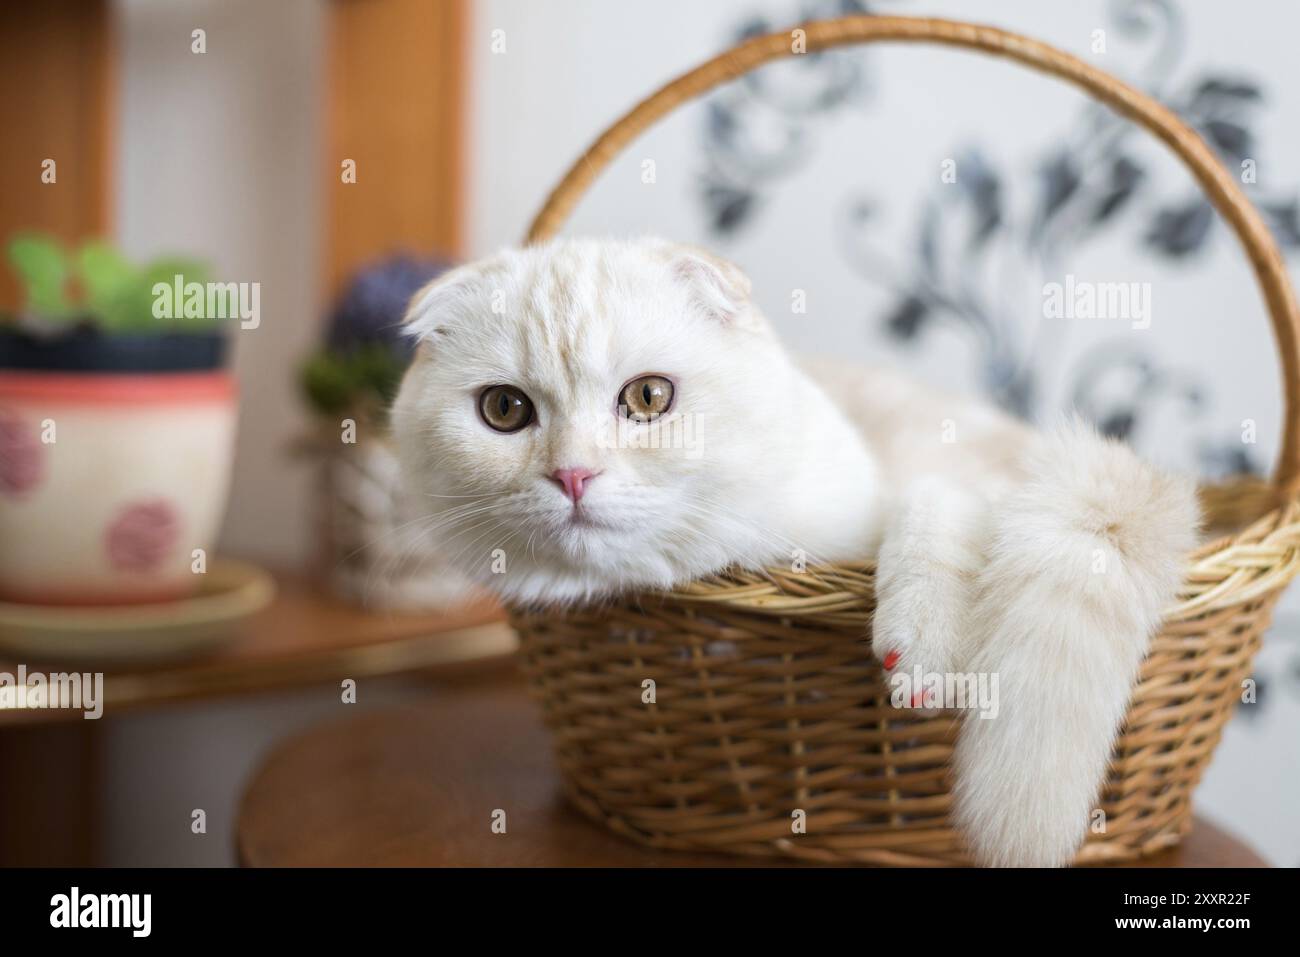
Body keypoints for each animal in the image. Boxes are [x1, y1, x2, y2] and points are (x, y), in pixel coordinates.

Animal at [387, 237, 1196, 868]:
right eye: (504, 409)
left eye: (648, 397)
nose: (573, 475)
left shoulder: (952, 490)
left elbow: (927, 513)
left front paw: (921, 653)